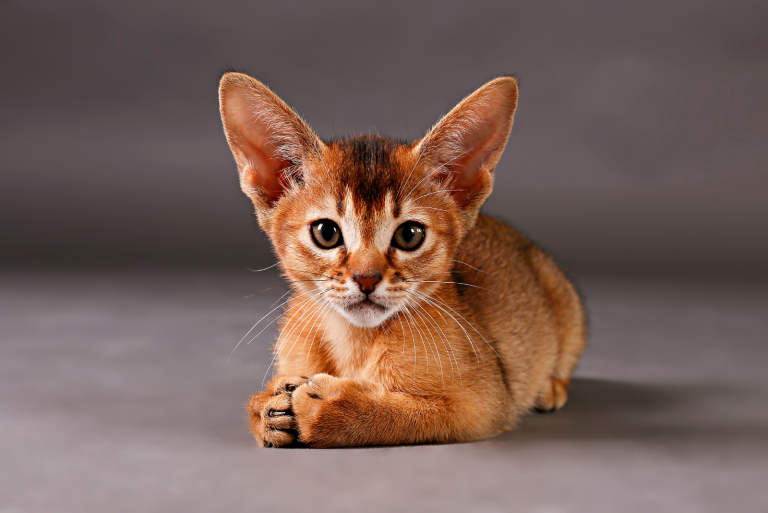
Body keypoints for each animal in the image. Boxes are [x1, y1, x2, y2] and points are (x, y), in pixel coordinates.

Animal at [219, 70, 584, 446]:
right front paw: (267, 408)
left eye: (409, 235)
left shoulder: (484, 405)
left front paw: (331, 407)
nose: (366, 279)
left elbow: (403, 415)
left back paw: (550, 388)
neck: (354, 343)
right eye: (326, 232)